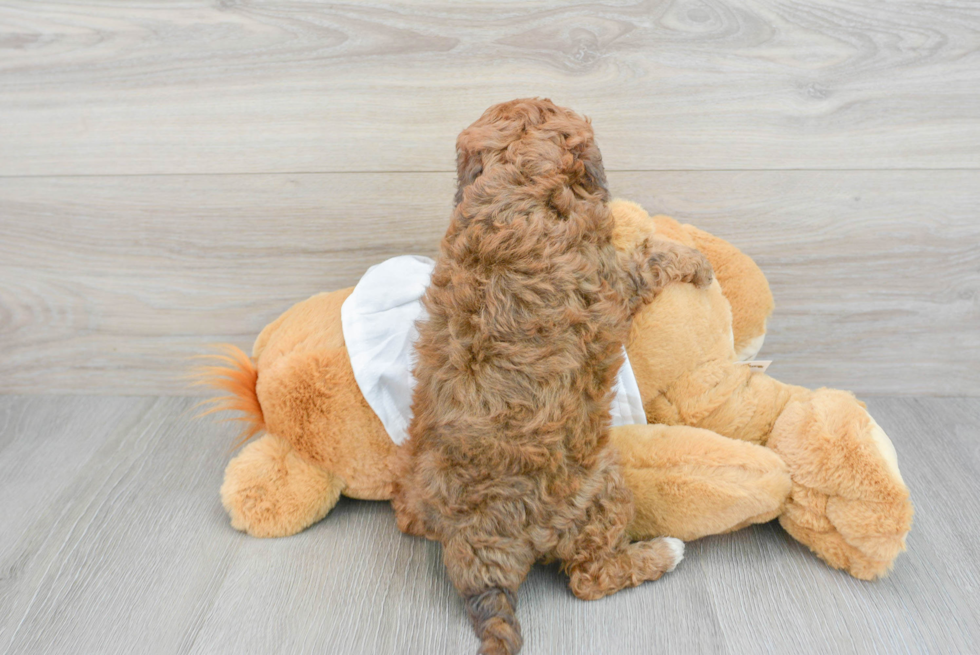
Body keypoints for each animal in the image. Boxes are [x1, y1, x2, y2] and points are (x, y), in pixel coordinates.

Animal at [390, 98, 712, 655]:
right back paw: (664, 552)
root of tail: (475, 543)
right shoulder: (613, 282)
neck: (516, 184)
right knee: (588, 578)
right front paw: (696, 261)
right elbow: (651, 257)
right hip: (600, 492)